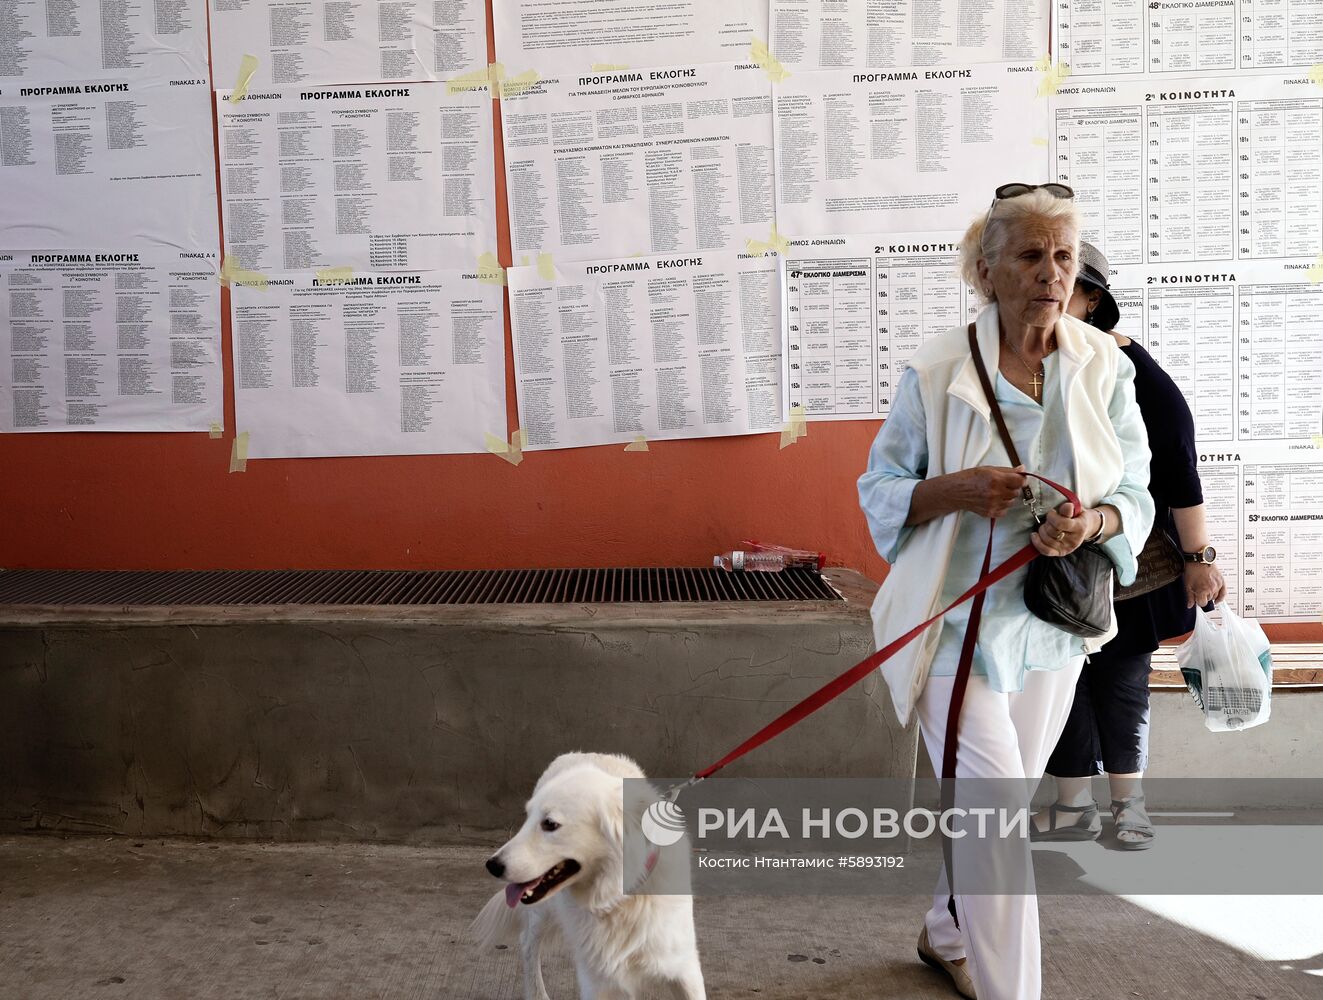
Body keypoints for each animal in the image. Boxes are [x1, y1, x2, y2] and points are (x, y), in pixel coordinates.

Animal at [470, 751, 709, 994]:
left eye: (550, 823)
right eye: (527, 818)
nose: (492, 866)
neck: (618, 899)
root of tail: (584, 753)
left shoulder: (685, 970)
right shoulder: (596, 980)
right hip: (541, 912)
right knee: (528, 943)